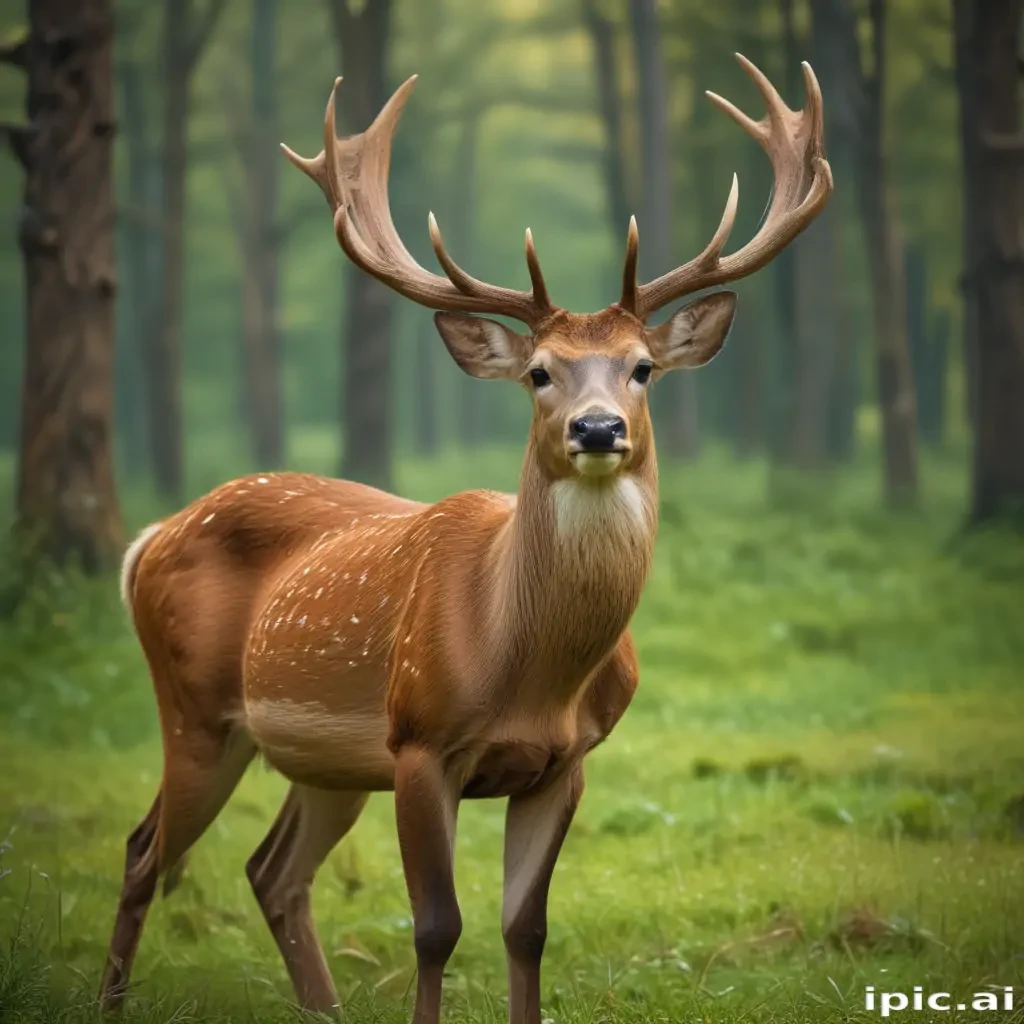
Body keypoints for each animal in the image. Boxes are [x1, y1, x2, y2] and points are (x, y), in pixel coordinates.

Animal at [99, 54, 831, 1024]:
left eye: (642, 368)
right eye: (539, 373)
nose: (598, 429)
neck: (524, 665)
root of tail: (148, 540)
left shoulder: (567, 762)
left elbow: (526, 929)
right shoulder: (419, 743)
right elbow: (436, 928)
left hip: (324, 764)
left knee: (271, 871)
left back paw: (324, 1008)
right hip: (196, 712)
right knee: (145, 850)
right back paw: (112, 998)